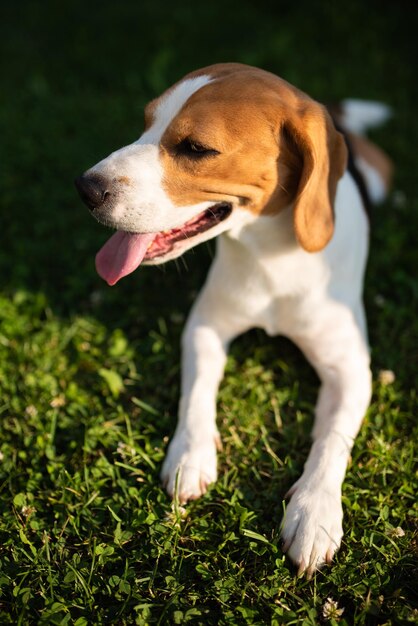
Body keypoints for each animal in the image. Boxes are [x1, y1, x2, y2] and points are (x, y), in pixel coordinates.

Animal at [75, 63, 392, 576]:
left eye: (195, 149)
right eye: (145, 122)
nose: (84, 187)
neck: (270, 255)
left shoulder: (351, 369)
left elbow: (333, 439)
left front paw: (315, 511)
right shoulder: (204, 326)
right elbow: (198, 392)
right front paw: (191, 454)